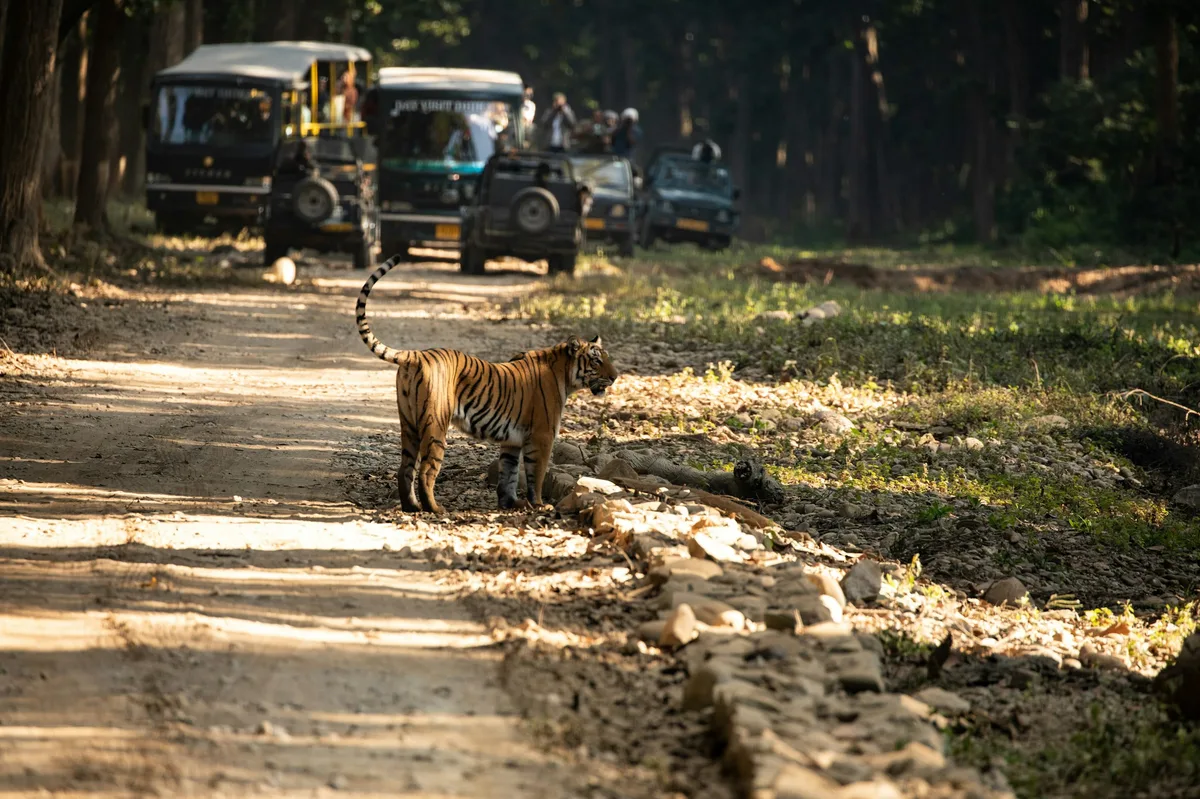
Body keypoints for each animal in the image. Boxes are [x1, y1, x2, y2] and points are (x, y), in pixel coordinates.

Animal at [355, 256, 618, 514]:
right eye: (597, 360)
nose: (616, 376)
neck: (564, 373)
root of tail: (416, 355)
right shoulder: (542, 436)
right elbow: (537, 474)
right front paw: (539, 504)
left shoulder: (512, 441)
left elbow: (508, 474)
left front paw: (510, 503)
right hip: (435, 425)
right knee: (427, 470)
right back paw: (435, 509)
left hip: (408, 423)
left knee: (405, 468)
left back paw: (411, 507)